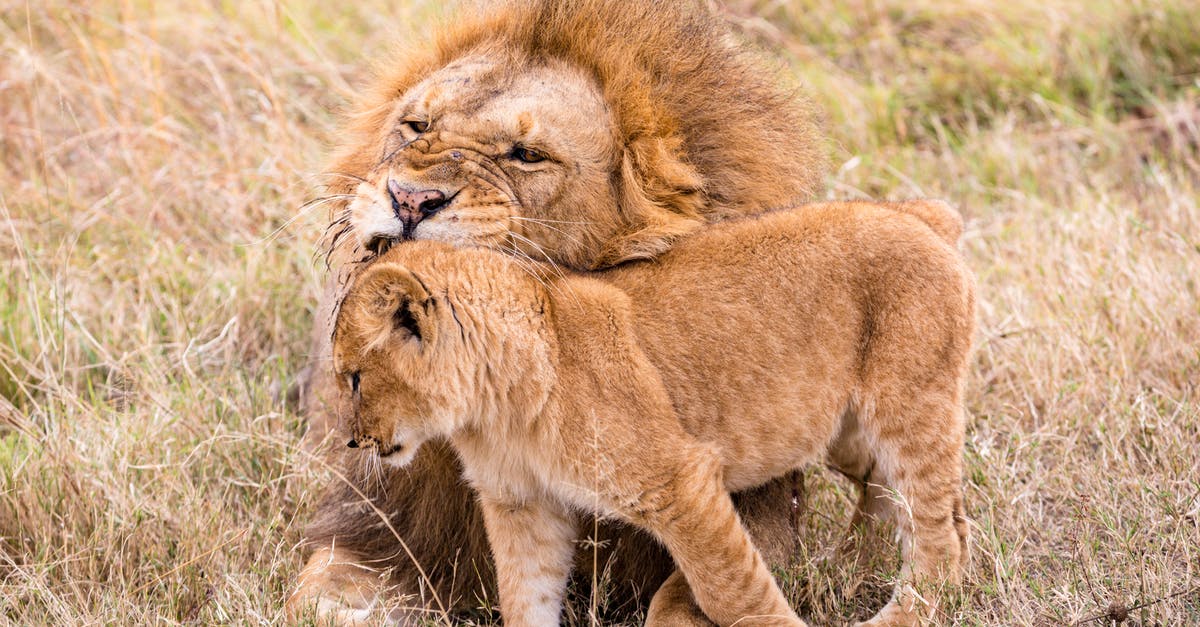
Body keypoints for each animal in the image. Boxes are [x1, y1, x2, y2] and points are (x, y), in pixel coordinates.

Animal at [292, 0, 828, 622]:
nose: (410, 199)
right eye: (416, 126)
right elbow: (311, 600)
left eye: (527, 155)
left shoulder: (765, 513)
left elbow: (703, 592)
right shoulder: (382, 532)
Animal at [327, 200, 975, 627]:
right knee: (920, 506)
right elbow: (524, 596)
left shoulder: (679, 482)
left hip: (908, 407)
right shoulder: (523, 506)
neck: (495, 411)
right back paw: (858, 565)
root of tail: (918, 213)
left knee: (939, 539)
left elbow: (731, 592)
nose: (355, 442)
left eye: (355, 378)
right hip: (848, 434)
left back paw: (898, 612)